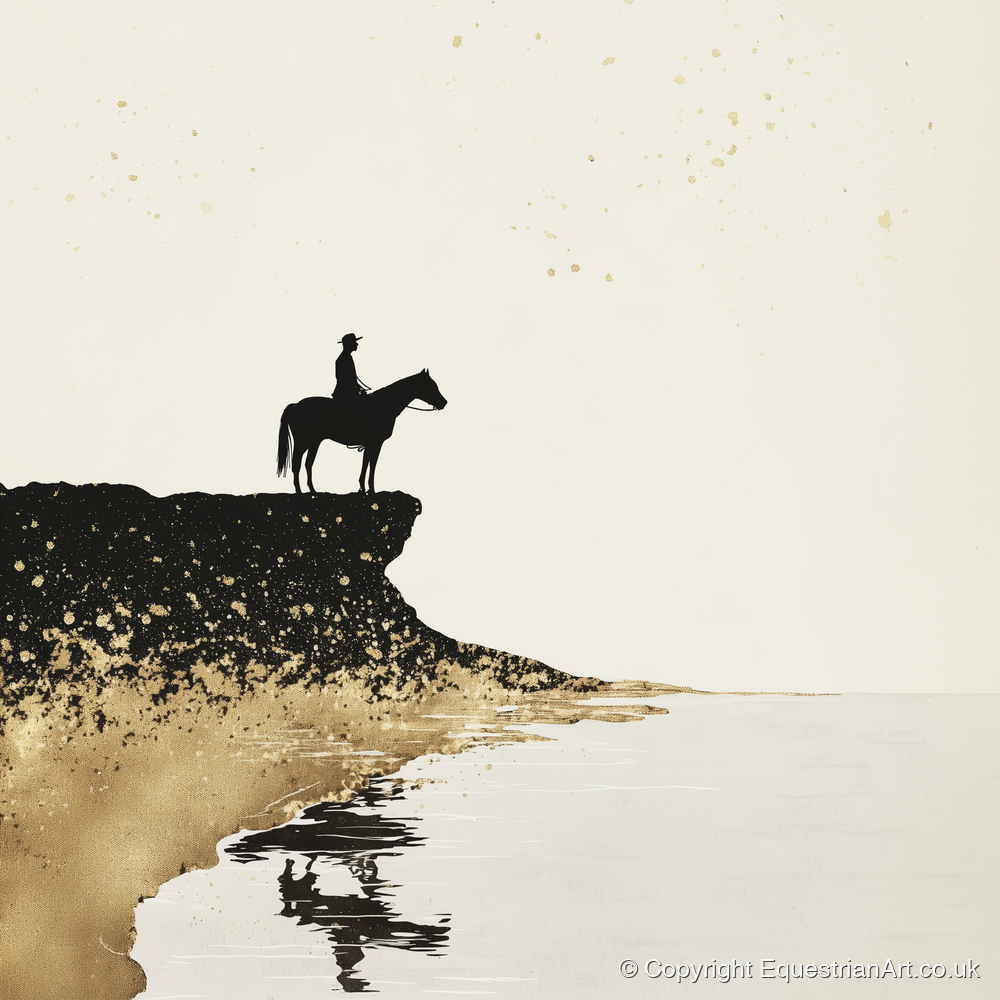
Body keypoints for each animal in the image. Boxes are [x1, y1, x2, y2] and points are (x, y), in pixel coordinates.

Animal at [276, 369, 447, 494]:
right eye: (431, 386)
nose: (444, 403)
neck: (383, 406)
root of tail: (296, 405)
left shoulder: (370, 444)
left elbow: (366, 464)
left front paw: (363, 489)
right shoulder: (376, 443)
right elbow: (372, 465)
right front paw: (371, 490)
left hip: (314, 442)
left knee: (308, 464)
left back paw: (313, 492)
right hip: (303, 442)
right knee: (297, 463)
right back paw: (299, 492)